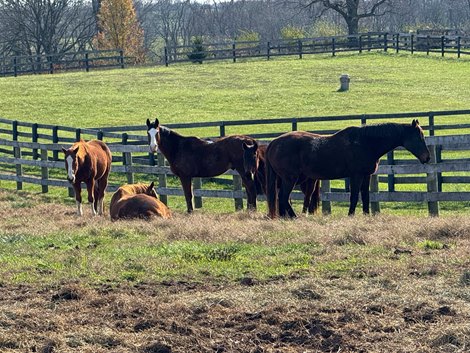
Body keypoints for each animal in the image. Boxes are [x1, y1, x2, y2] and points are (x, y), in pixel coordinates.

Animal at [264, 119, 430, 217]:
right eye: (419, 137)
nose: (427, 157)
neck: (365, 143)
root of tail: (273, 143)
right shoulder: (356, 175)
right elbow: (354, 197)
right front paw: (351, 215)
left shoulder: (366, 176)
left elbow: (365, 196)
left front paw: (366, 215)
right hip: (290, 179)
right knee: (283, 197)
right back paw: (294, 217)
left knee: (281, 198)